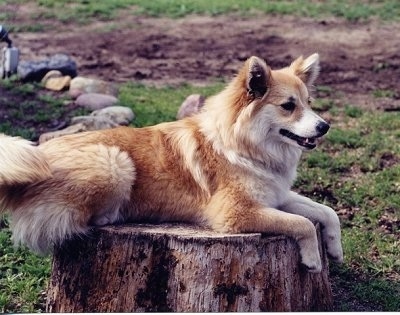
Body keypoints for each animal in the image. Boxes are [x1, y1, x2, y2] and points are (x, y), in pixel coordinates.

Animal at [0, 53, 344, 272]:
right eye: (288, 106)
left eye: (309, 103)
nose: (325, 127)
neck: (244, 146)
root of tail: (41, 155)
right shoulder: (235, 214)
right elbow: (300, 223)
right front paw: (313, 258)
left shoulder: (276, 196)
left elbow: (325, 212)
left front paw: (335, 249)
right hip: (115, 161)